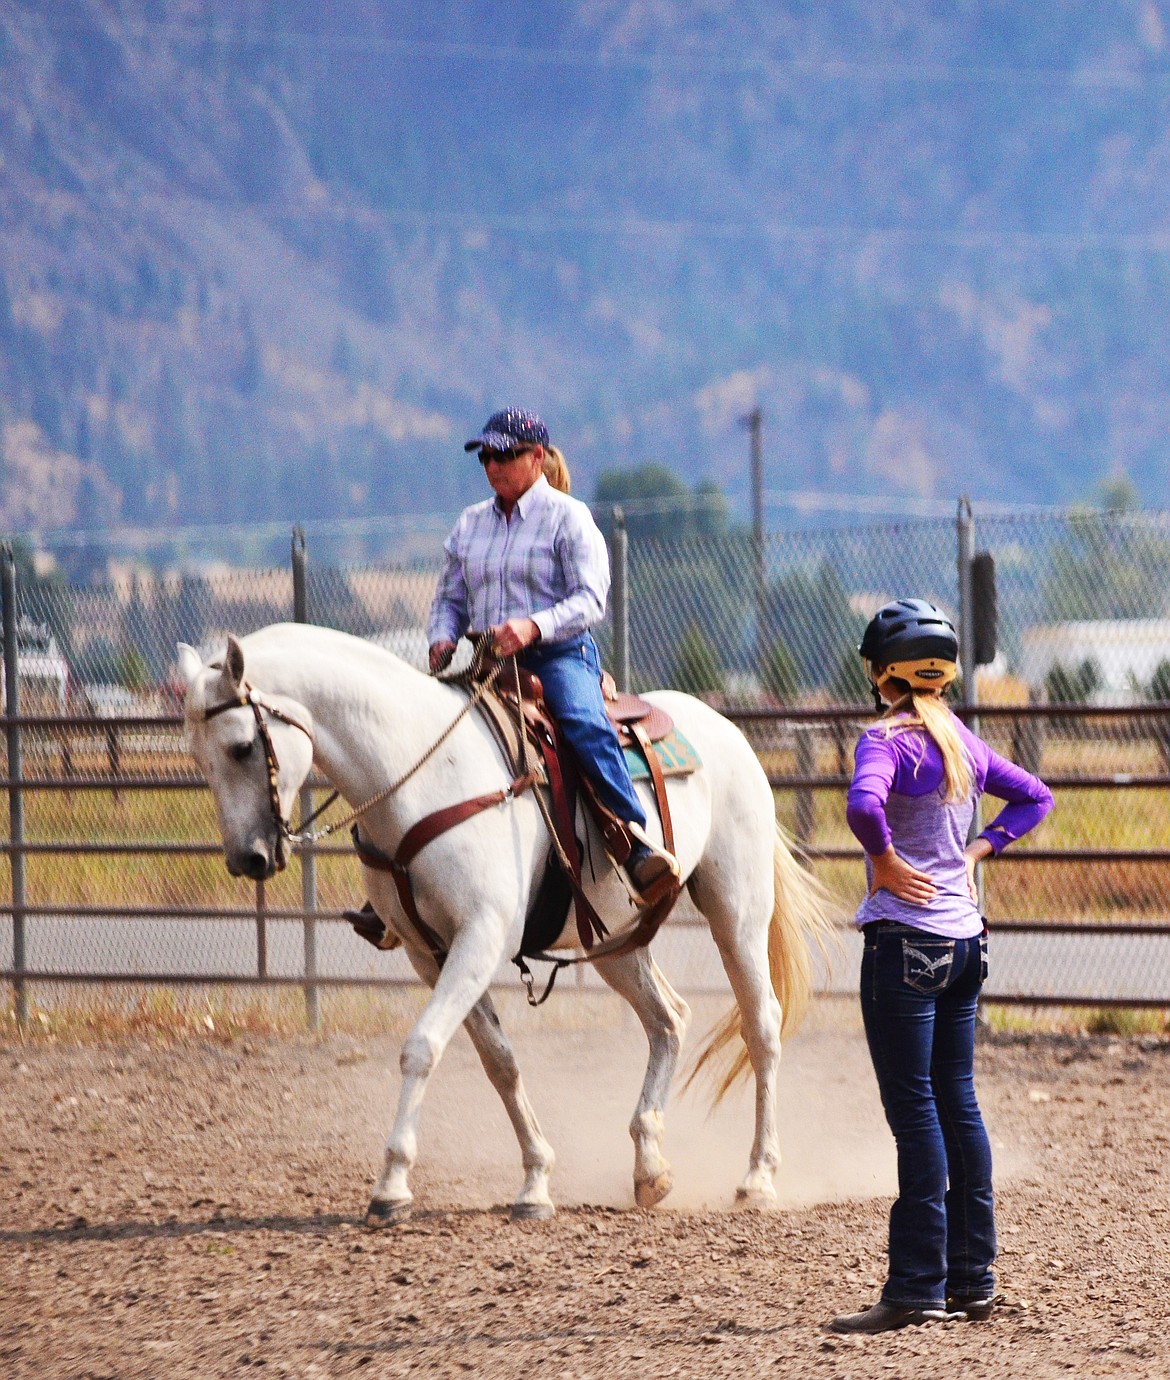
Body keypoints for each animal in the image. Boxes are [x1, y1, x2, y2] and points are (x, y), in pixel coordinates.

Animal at [177, 621, 838, 1225]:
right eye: (198, 756)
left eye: (241, 747)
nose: (247, 860)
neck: (421, 774)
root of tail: (726, 729)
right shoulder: (432, 953)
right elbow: (499, 1061)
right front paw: (535, 1182)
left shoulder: (480, 937)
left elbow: (422, 1047)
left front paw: (391, 1186)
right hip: (616, 941)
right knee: (668, 1020)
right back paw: (650, 1167)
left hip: (737, 911)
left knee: (761, 1025)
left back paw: (758, 1177)